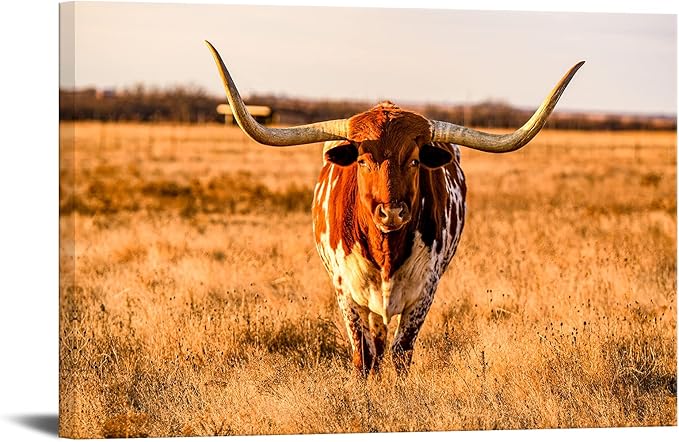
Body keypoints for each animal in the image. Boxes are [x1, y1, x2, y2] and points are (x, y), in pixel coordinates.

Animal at [205, 40, 583, 377]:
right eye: (362, 160)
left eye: (414, 160)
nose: (392, 214)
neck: (386, 250)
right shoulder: (346, 293)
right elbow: (364, 356)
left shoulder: (424, 292)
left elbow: (402, 354)